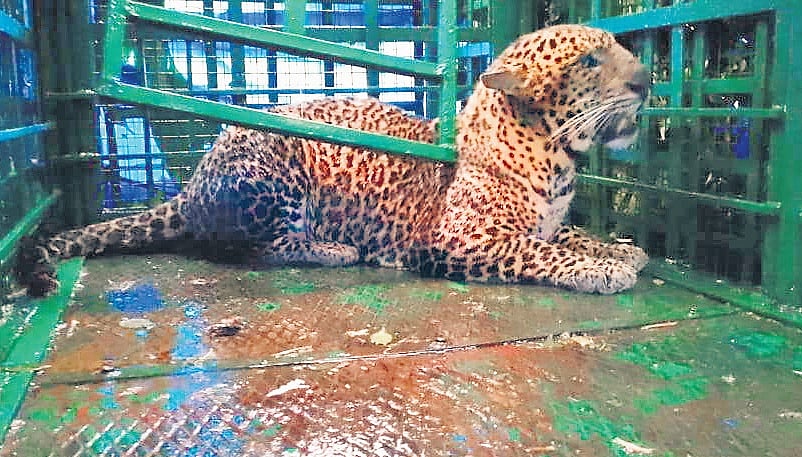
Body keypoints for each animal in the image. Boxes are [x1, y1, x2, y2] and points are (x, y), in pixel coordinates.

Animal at [17, 24, 650, 297]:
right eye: (592, 60)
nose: (647, 79)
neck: (558, 157)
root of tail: (190, 185)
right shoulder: (459, 236)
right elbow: (536, 252)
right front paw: (602, 269)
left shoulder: (547, 219)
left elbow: (566, 235)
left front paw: (619, 249)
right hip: (272, 162)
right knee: (251, 249)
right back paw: (336, 249)